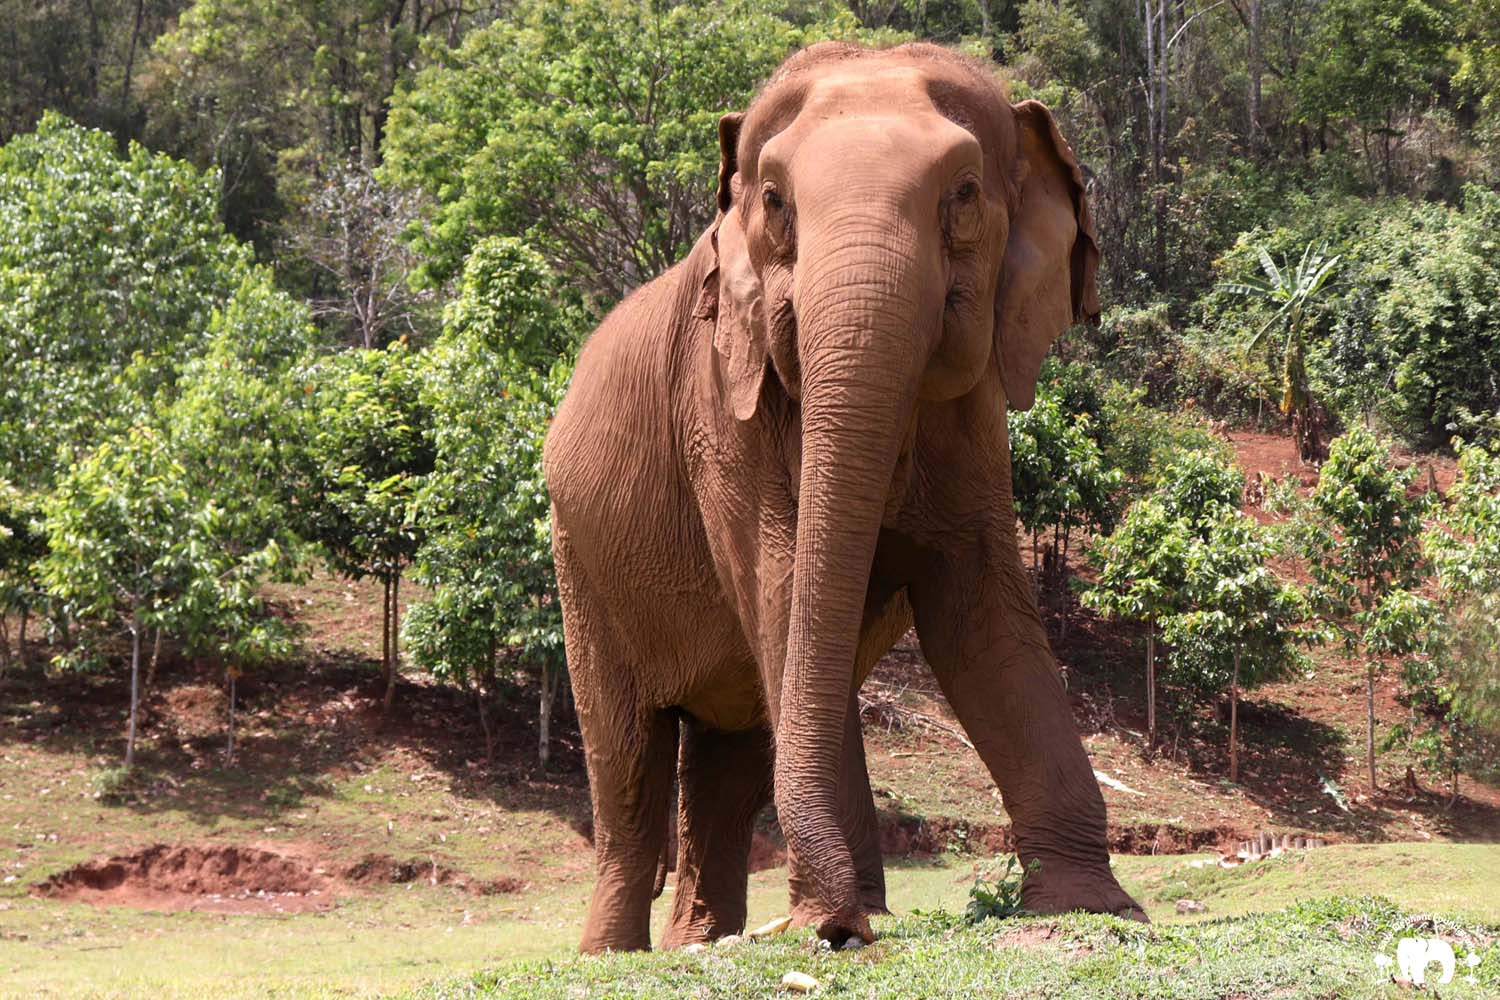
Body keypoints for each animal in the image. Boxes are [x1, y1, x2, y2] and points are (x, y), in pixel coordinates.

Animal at [546, 41, 1140, 953]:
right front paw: (839, 914)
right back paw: (618, 952)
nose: (835, 933)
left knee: (735, 753)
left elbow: (976, 610)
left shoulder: (972, 421)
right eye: (774, 202)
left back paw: (702, 941)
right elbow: (784, 589)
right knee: (628, 759)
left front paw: (1094, 906)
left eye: (964, 194)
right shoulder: (722, 409)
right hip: (581, 564)